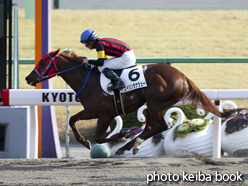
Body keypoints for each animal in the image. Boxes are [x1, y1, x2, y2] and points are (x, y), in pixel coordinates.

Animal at [25, 49, 238, 155]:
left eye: (42, 62)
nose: (28, 78)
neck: (88, 80)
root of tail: (183, 76)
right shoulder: (92, 111)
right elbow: (72, 120)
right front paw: (85, 141)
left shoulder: (105, 114)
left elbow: (100, 137)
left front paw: (121, 135)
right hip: (153, 105)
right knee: (152, 127)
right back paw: (131, 146)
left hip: (154, 103)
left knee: (158, 126)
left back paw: (127, 145)